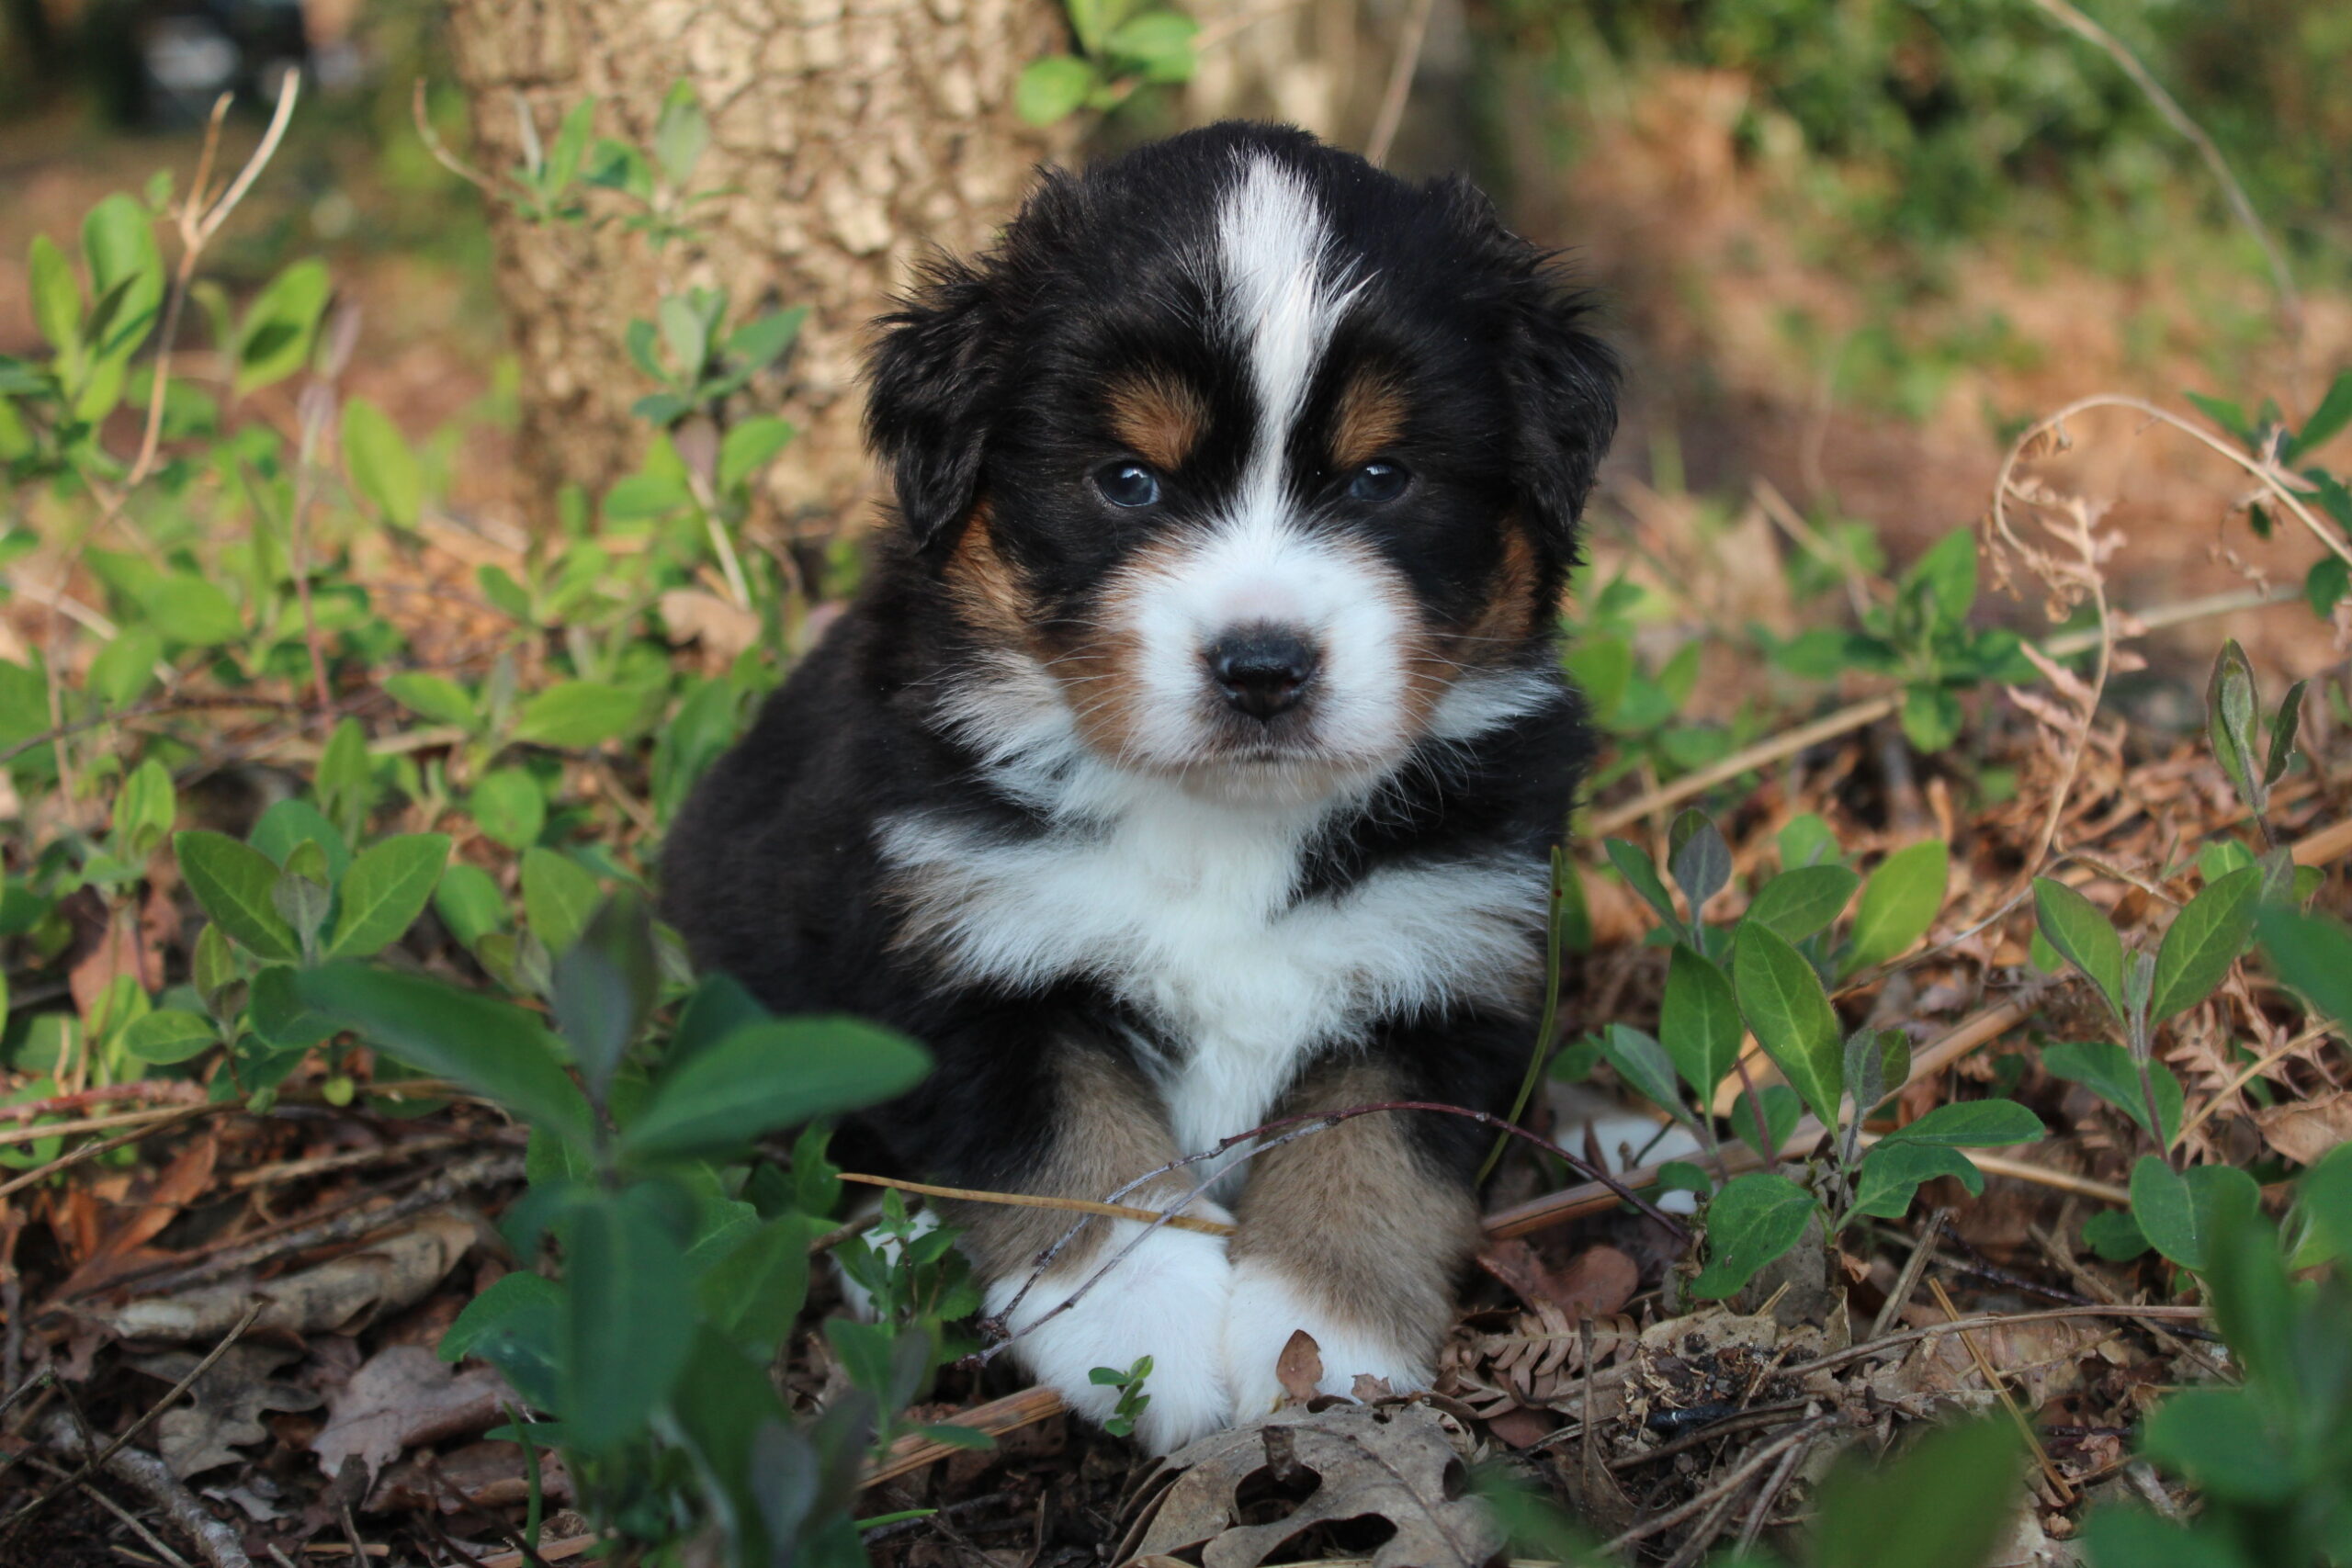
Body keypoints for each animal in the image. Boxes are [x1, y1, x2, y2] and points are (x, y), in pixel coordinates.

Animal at [661, 121, 1616, 1453]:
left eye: (1381, 478)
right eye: (1127, 480)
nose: (1263, 667)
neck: (1223, 822)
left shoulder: (1445, 959)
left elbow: (1369, 1154)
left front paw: (1323, 1337)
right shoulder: (962, 950)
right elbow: (1079, 1153)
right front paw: (1149, 1332)